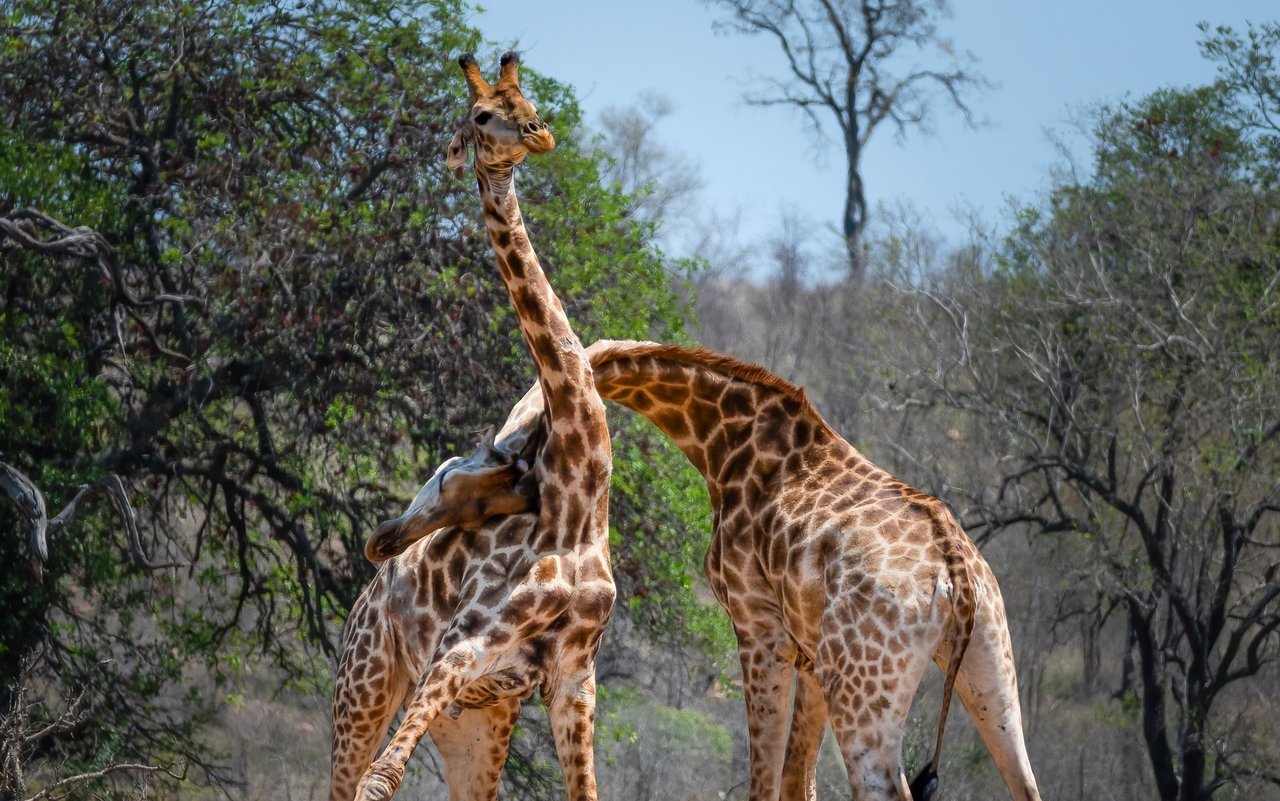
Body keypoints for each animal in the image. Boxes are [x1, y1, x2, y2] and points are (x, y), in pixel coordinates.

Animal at [330, 51, 614, 798]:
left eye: (528, 99)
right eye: (483, 115)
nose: (540, 134)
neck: (579, 502)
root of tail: (367, 595)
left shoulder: (573, 678)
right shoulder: (464, 646)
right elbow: (382, 781)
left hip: (476, 725)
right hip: (367, 683)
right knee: (353, 777)